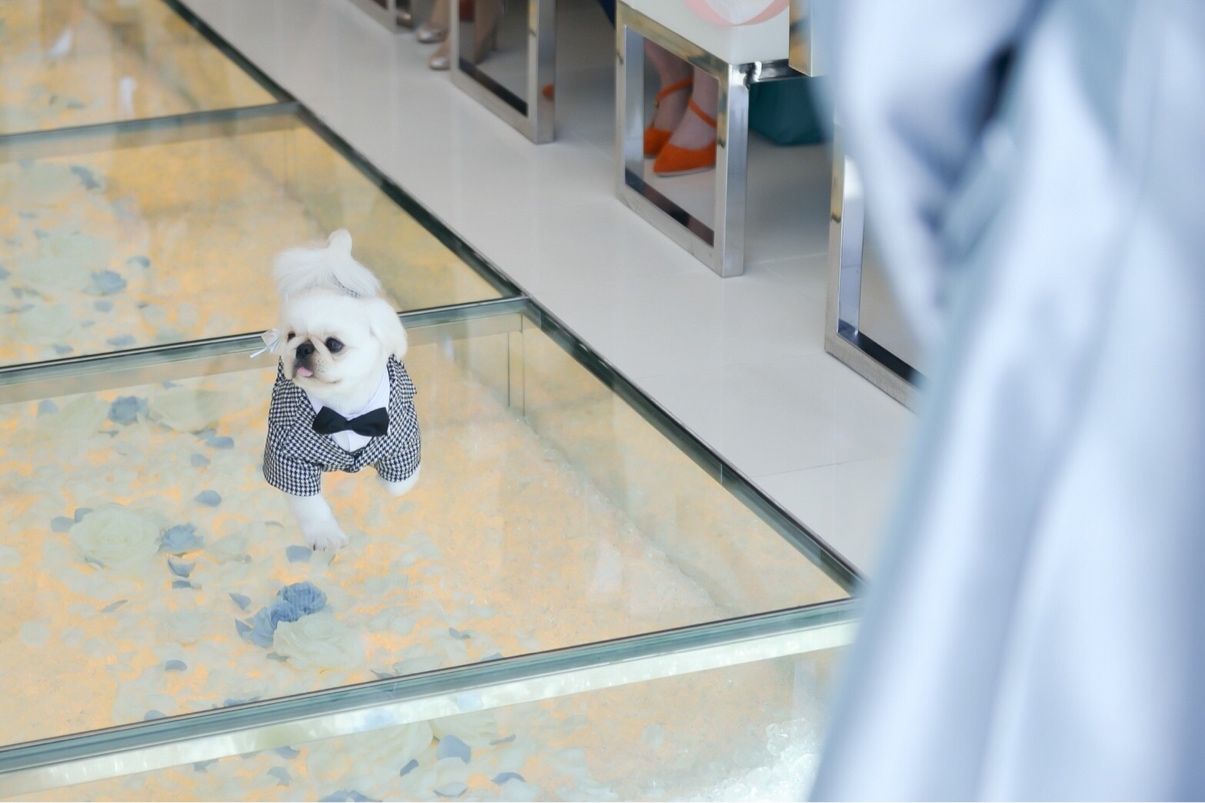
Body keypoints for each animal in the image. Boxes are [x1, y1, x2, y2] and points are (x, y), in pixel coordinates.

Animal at [260, 230, 421, 550]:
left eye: (334, 344)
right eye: (291, 336)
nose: (302, 348)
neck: (345, 410)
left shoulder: (403, 438)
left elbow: (399, 485)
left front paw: (381, 481)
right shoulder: (289, 458)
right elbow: (311, 506)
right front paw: (325, 535)